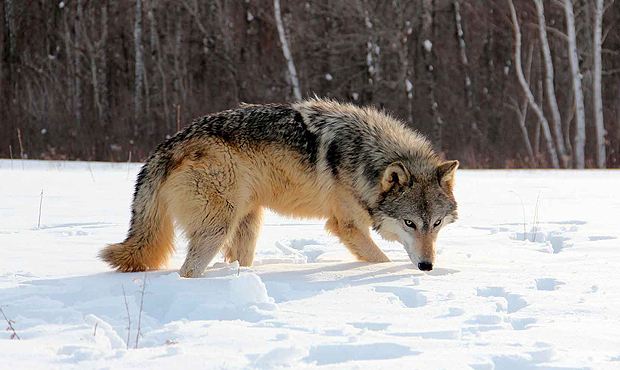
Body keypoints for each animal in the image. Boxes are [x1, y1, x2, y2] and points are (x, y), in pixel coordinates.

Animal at [100, 98, 460, 278]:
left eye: (436, 224)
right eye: (409, 223)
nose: (427, 267)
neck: (364, 157)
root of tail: (167, 145)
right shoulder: (346, 225)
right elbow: (380, 259)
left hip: (248, 222)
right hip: (218, 227)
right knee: (187, 271)